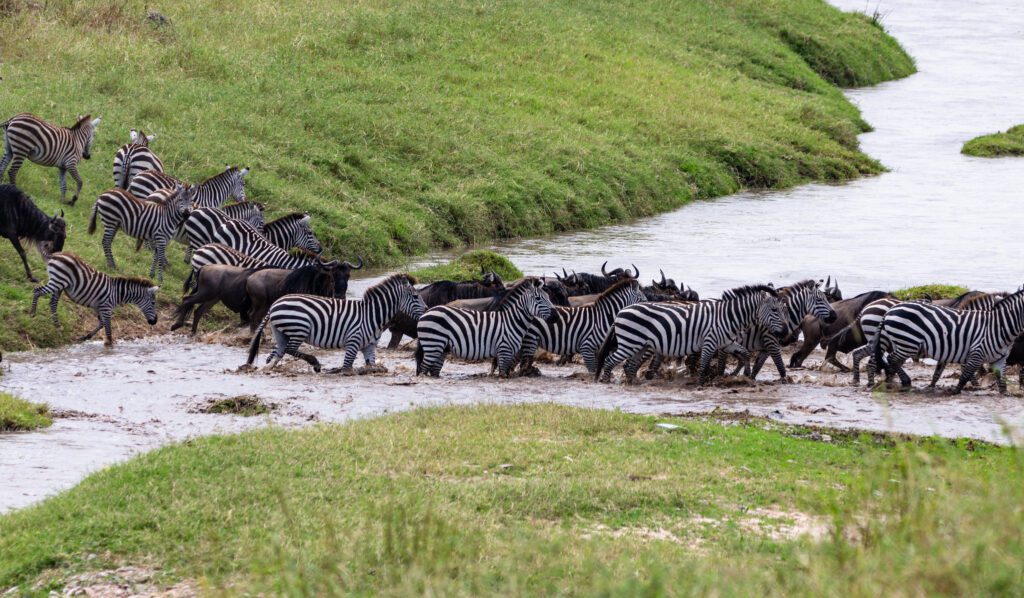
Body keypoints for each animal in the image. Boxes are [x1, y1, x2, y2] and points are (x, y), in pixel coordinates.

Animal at [29, 251, 157, 346]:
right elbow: (108, 330)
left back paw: (58, 327)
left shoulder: (98, 307)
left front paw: (85, 337)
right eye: (153, 303)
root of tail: (55, 255)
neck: (117, 293)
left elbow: (101, 324)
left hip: (59, 285)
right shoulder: (106, 308)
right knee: (37, 291)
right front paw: (109, 344)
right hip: (58, 281)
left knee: (53, 303)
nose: (155, 321)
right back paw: (32, 314)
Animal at [247, 274, 423, 372]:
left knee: (277, 353)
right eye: (415, 297)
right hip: (300, 329)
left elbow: (371, 366)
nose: (427, 309)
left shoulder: (369, 347)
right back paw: (315, 363)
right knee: (290, 349)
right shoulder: (353, 342)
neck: (373, 315)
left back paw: (269, 367)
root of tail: (275, 304)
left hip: (280, 332)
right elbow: (346, 368)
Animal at [413, 276, 552, 378]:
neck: (511, 319)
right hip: (434, 344)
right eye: (538, 298)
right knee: (424, 368)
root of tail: (426, 313)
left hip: (441, 348)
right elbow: (501, 370)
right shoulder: (503, 348)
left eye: (549, 297)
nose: (554, 316)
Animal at [593, 286, 782, 385]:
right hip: (629, 343)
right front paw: (700, 384)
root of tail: (620, 313)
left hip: (639, 345)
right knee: (610, 360)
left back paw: (633, 383)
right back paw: (605, 381)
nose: (784, 332)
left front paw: (747, 375)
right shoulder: (709, 341)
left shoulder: (726, 343)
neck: (727, 317)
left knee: (629, 365)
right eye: (775, 310)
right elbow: (704, 363)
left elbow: (745, 352)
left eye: (781, 309)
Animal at [868, 288, 1024, 395]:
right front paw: (955, 391)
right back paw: (904, 382)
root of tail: (889, 311)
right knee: (892, 359)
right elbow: (965, 375)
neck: (998, 326)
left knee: (891, 361)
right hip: (908, 343)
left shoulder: (1000, 359)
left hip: (901, 343)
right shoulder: (976, 352)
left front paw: (1005, 394)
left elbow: (1002, 383)